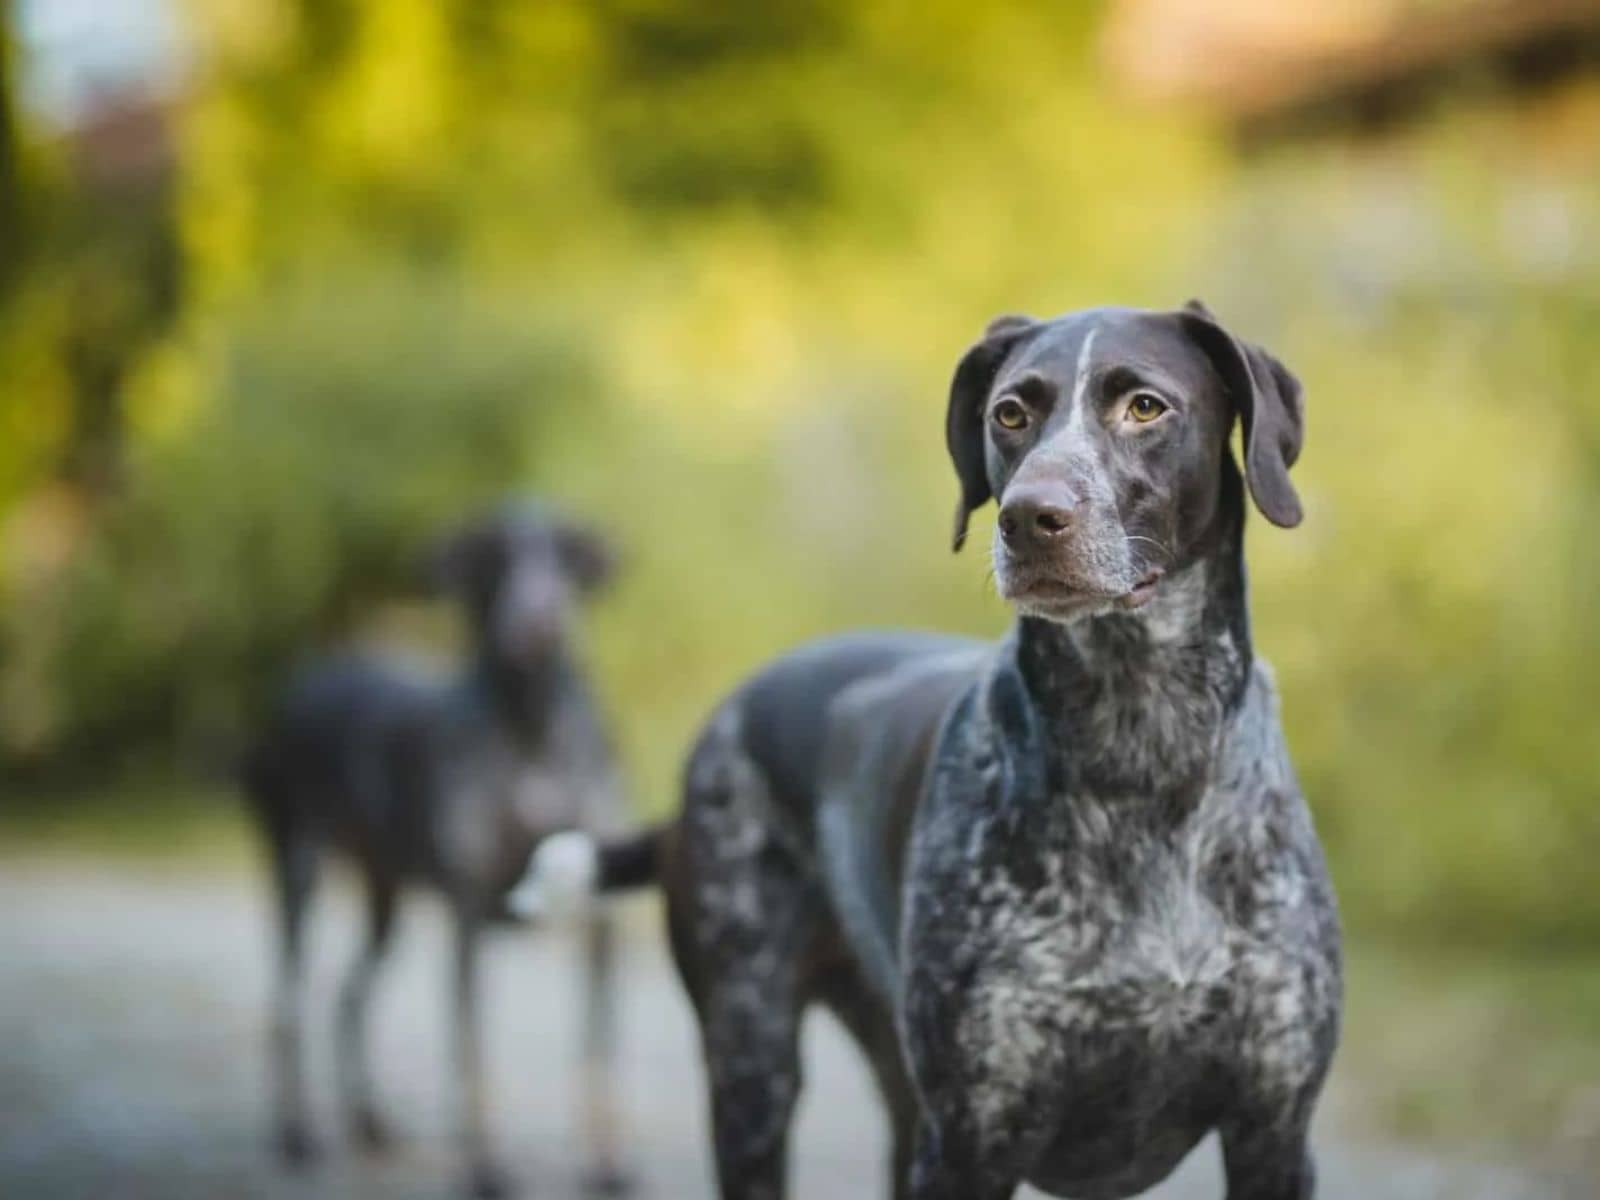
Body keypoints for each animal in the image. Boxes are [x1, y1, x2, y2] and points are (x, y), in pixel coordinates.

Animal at [243, 496, 630, 1196]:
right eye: (492, 555)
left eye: (566, 553)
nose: (539, 623)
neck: (531, 729)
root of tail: (311, 673)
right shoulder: (469, 915)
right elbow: (472, 1049)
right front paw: (486, 1168)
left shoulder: (601, 916)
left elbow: (600, 1045)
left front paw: (608, 1163)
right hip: (299, 867)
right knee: (287, 1006)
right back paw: (296, 1134)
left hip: (385, 897)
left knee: (347, 996)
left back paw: (370, 1123)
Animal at [521, 302, 1337, 1200]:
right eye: (1009, 414)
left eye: (1146, 407)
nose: (1029, 517)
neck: (1141, 746)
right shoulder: (972, 1139)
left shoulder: (1273, 1132)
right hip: (754, 1068)